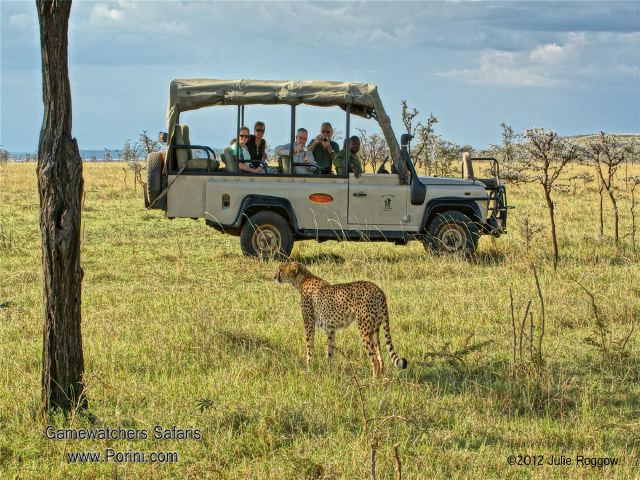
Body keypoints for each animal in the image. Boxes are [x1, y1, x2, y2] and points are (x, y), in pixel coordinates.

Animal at [274, 262, 404, 378]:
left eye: (281, 270)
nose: (275, 277)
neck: (303, 279)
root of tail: (377, 289)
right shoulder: (330, 329)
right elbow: (329, 351)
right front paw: (328, 371)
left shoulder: (309, 325)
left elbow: (309, 348)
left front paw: (308, 370)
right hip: (376, 327)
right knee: (380, 356)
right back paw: (382, 379)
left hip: (364, 328)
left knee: (374, 359)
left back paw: (373, 382)